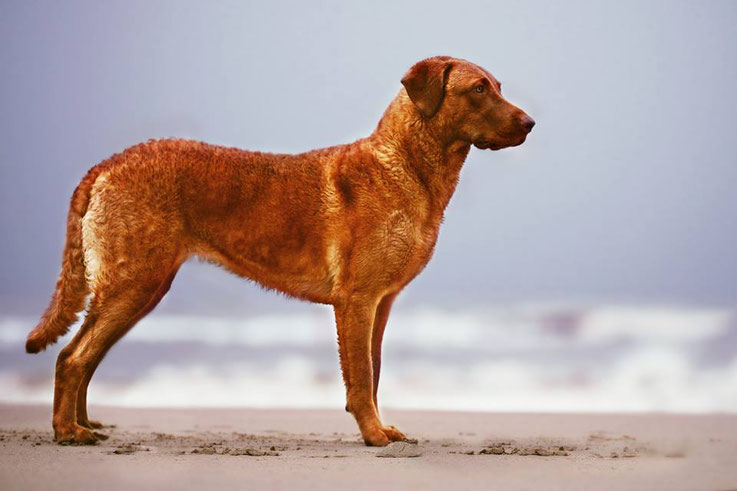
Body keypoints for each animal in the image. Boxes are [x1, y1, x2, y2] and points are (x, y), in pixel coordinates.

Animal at [25, 56, 532, 446]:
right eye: (478, 88)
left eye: (498, 86)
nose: (530, 123)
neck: (408, 167)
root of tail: (105, 165)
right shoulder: (357, 299)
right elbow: (361, 376)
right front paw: (373, 436)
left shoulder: (383, 303)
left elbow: (375, 369)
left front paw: (382, 428)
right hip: (133, 282)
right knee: (72, 357)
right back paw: (67, 432)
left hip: (140, 288)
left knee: (86, 355)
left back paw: (84, 424)